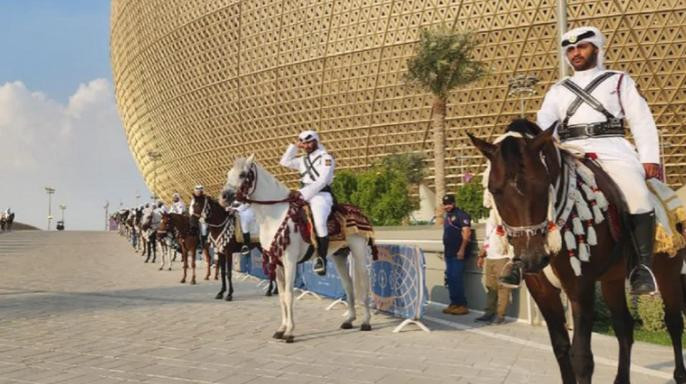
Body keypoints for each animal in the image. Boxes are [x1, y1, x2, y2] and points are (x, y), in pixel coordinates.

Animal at [222, 156, 376, 342]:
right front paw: (281, 329)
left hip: (359, 253)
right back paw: (349, 319)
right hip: (339, 256)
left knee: (365, 283)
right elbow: (281, 296)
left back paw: (366, 322)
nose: (224, 196)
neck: (275, 216)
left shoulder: (289, 262)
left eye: (243, 174)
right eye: (229, 173)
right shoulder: (278, 263)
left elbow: (289, 294)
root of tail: (360, 212)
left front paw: (290, 332)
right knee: (348, 284)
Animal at [470, 118, 686, 382]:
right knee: (624, 326)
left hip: (668, 274)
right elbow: (561, 348)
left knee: (674, 322)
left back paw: (679, 373)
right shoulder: (541, 289)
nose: (532, 258)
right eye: (495, 190)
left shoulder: (580, 287)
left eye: (542, 185)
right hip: (612, 279)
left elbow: (582, 357)